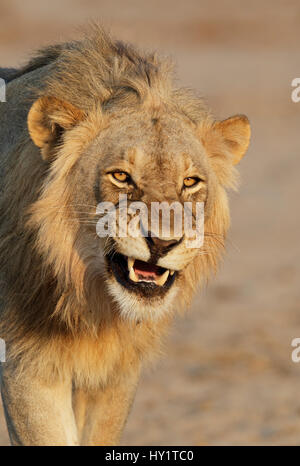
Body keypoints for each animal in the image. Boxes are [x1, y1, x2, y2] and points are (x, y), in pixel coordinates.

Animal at [0, 26, 250, 448]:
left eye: (190, 182)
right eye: (121, 176)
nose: (163, 244)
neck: (92, 303)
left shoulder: (117, 371)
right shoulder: (24, 364)